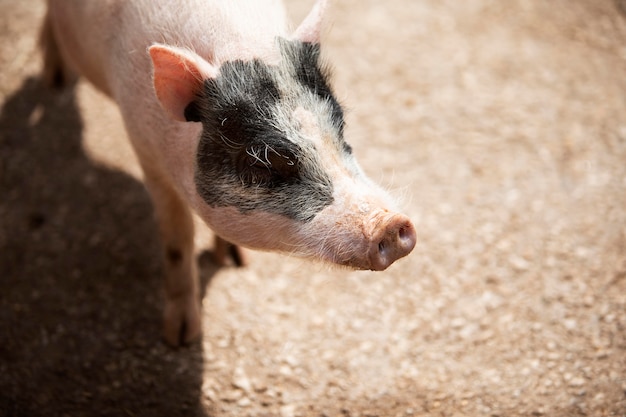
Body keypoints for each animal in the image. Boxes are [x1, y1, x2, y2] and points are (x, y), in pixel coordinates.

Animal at [41, 0, 416, 344]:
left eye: (340, 129)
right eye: (264, 161)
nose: (391, 224)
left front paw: (236, 261)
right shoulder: (145, 151)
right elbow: (177, 239)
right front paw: (182, 338)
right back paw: (55, 81)